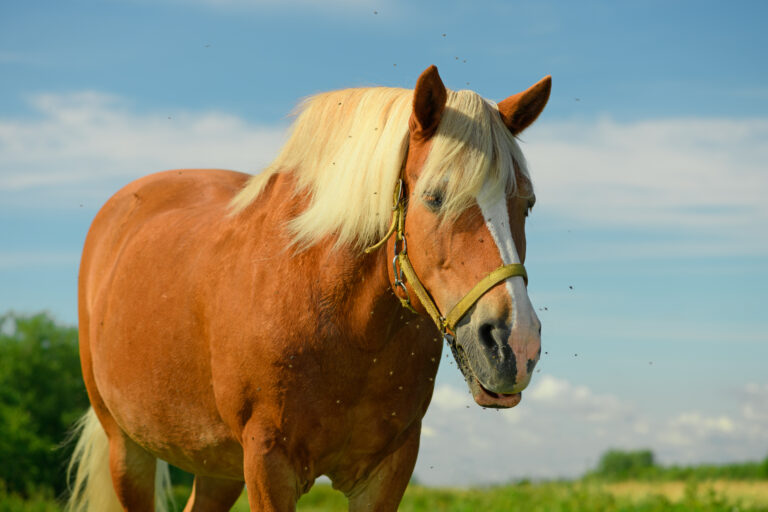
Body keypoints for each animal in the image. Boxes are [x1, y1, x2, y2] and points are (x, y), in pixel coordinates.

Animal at [66, 66, 544, 510]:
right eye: (435, 197)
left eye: (527, 203)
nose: (515, 344)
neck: (341, 318)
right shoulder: (268, 463)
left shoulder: (387, 469)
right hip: (128, 449)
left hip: (217, 467)